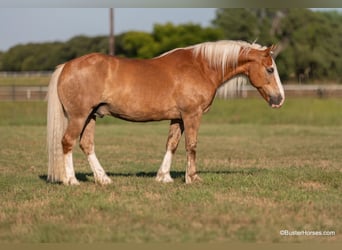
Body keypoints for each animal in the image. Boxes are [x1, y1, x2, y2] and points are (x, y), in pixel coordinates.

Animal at [46, 40, 284, 185]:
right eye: (270, 69)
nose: (279, 99)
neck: (202, 67)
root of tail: (66, 66)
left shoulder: (178, 118)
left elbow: (172, 144)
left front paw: (164, 177)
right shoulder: (191, 115)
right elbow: (191, 145)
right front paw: (192, 178)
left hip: (91, 116)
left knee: (86, 144)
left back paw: (103, 179)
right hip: (79, 116)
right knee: (67, 142)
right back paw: (71, 180)